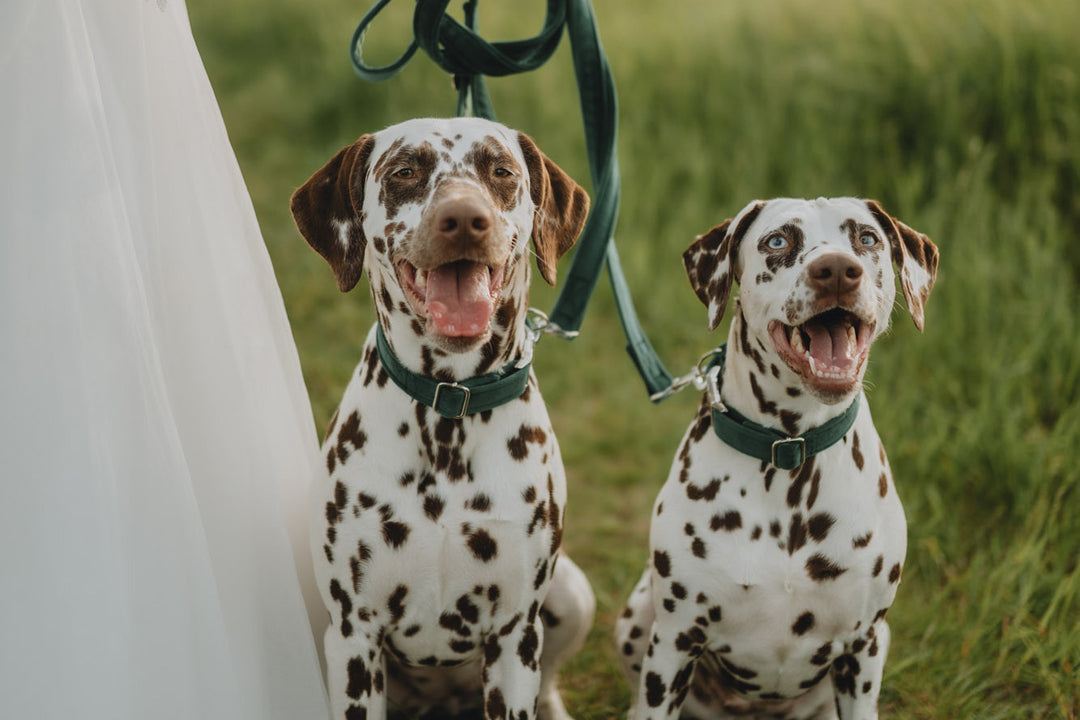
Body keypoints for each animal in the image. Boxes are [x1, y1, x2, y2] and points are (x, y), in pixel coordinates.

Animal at [291, 119, 596, 720]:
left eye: (500, 170)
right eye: (405, 170)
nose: (463, 220)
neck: (449, 406)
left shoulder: (513, 635)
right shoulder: (354, 635)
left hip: (572, 596)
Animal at [617, 198, 937, 720]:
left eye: (867, 238)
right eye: (778, 240)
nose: (836, 270)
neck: (791, 457)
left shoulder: (863, 646)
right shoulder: (674, 644)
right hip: (638, 618)